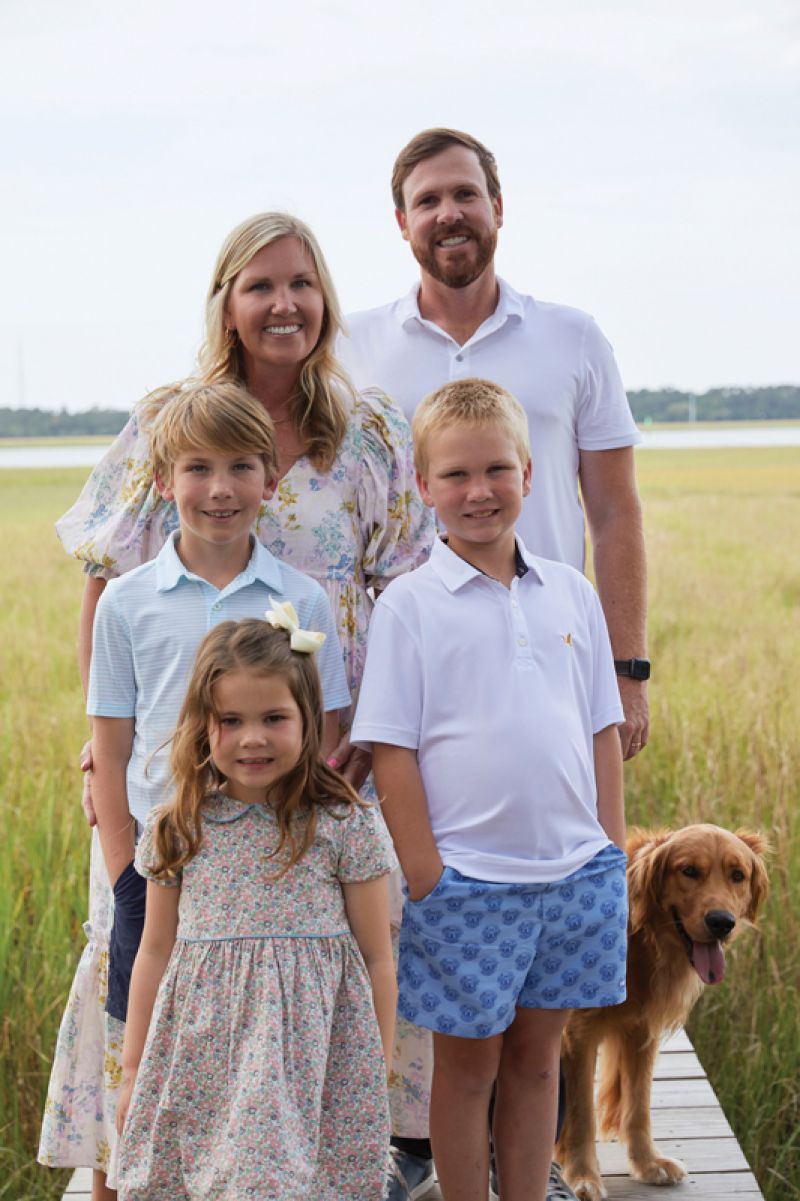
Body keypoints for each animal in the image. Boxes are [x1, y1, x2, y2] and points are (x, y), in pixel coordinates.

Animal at [554, 826, 768, 1201]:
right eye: (689, 871)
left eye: (738, 875)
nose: (721, 922)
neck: (641, 939)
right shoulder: (577, 1035)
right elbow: (581, 1115)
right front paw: (582, 1175)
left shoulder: (641, 1031)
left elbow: (637, 1106)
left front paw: (648, 1163)